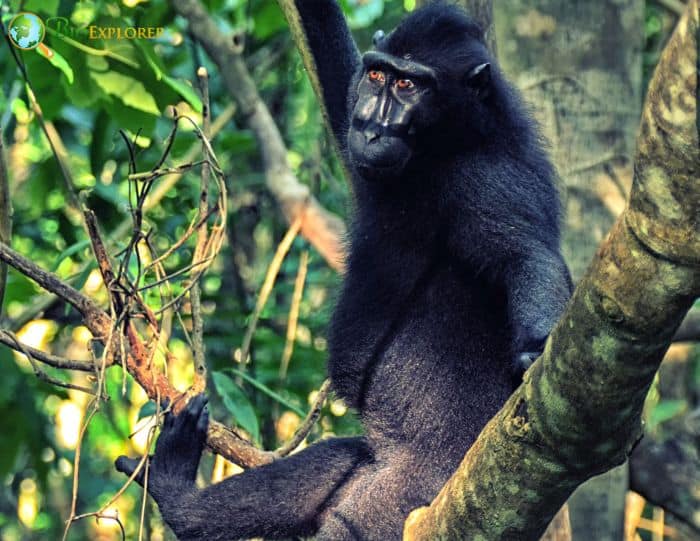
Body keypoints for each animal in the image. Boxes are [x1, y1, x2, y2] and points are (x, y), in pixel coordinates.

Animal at [115, 2, 572, 539]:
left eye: (409, 86)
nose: (371, 124)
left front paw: (535, 352)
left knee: (349, 521)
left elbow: (525, 254)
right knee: (336, 460)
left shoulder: (489, 180)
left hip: (405, 498)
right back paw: (179, 496)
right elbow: (334, 70)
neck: (446, 149)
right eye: (377, 75)